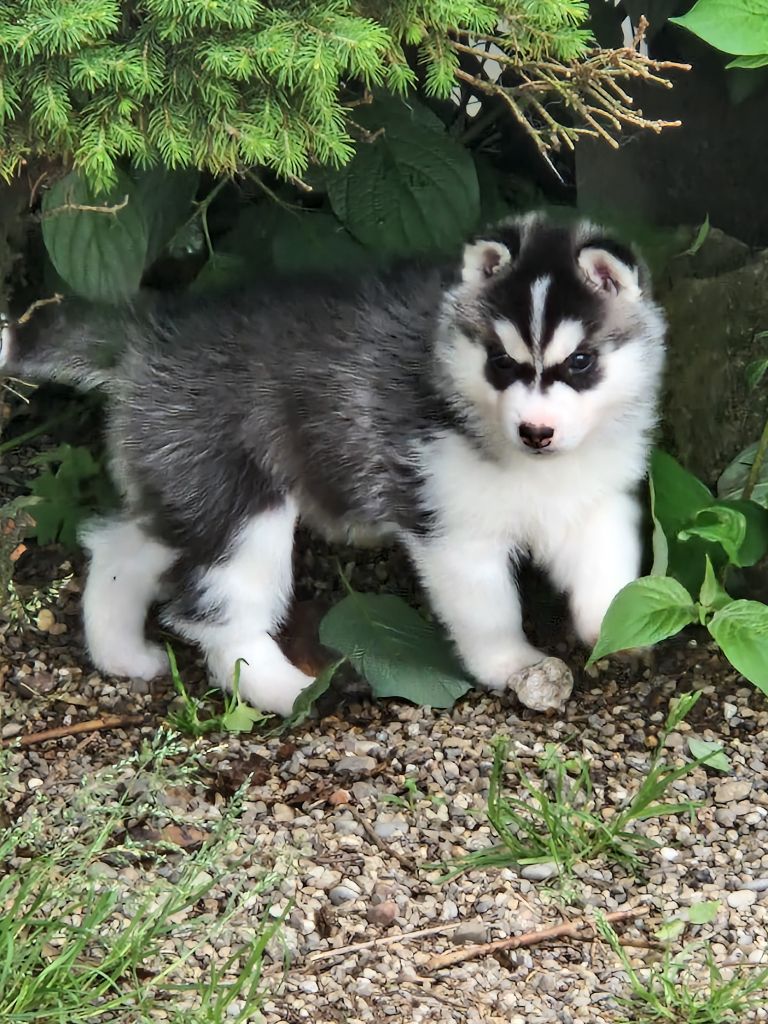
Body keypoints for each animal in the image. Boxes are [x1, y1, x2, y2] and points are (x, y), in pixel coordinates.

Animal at [1, 212, 667, 716]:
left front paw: (614, 627)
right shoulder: (451, 528)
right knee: (218, 610)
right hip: (244, 510)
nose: (535, 431)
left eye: (580, 362)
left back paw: (120, 653)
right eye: (501, 363)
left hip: (186, 482)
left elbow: (610, 569)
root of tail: (155, 329)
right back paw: (280, 687)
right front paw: (511, 662)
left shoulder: (597, 500)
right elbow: (489, 608)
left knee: (119, 545)